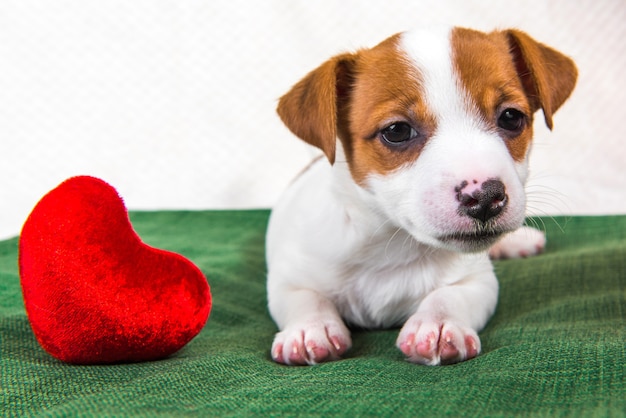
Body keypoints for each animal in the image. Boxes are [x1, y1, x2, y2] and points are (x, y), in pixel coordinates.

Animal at [264, 26, 576, 366]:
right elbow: (305, 298)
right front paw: (310, 328)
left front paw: (438, 324)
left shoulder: (477, 280)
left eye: (510, 117)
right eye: (397, 130)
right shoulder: (288, 279)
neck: (393, 245)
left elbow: (449, 295)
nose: (485, 198)